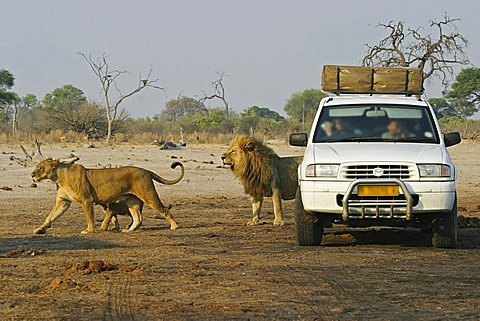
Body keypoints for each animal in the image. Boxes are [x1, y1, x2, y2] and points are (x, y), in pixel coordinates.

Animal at [30, 159, 184, 234]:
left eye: (41, 168)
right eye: (37, 167)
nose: (32, 175)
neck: (58, 177)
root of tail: (146, 170)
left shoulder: (87, 200)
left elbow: (89, 217)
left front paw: (89, 231)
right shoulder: (63, 202)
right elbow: (50, 216)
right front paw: (40, 229)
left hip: (148, 195)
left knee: (164, 210)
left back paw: (174, 226)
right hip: (132, 201)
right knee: (138, 218)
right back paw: (128, 230)